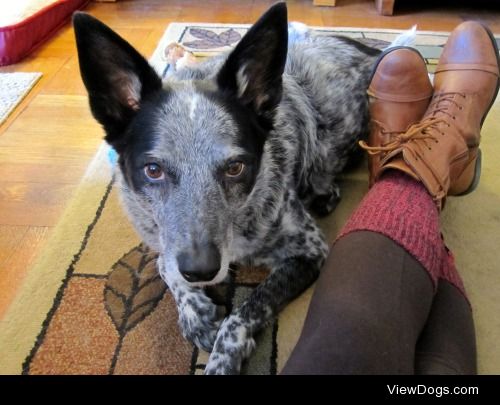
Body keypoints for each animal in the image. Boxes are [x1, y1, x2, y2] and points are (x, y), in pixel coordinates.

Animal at [72, 2, 412, 372]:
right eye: (153, 170)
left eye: (235, 168)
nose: (200, 270)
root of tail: (368, 51)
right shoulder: (162, 240)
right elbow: (165, 264)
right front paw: (195, 313)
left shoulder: (310, 252)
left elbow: (246, 310)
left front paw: (222, 358)